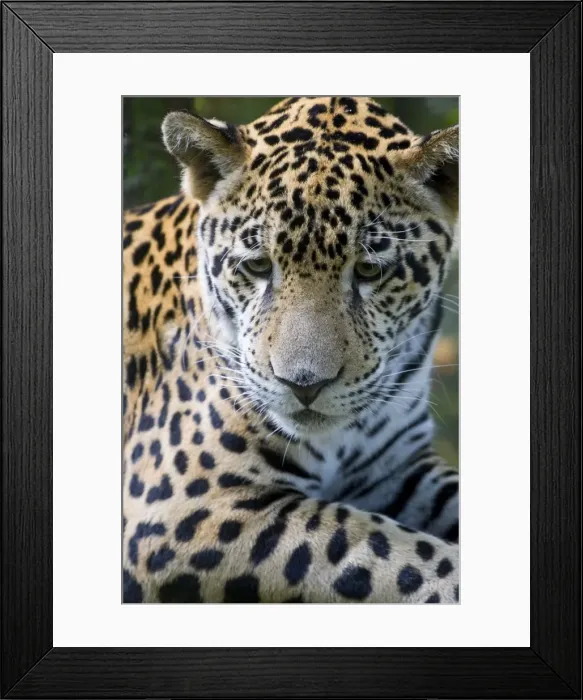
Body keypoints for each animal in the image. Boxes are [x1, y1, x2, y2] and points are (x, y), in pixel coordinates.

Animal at [123, 96, 460, 603]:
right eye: (258, 266)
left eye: (369, 270)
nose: (304, 385)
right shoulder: (185, 508)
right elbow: (399, 554)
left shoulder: (399, 468)